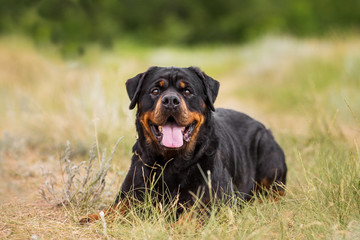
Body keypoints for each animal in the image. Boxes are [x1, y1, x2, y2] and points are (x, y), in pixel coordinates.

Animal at [79, 66, 286, 223]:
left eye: (187, 91)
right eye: (155, 91)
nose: (171, 100)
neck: (170, 163)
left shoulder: (215, 200)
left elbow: (193, 214)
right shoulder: (131, 194)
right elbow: (116, 208)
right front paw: (92, 217)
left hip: (269, 156)